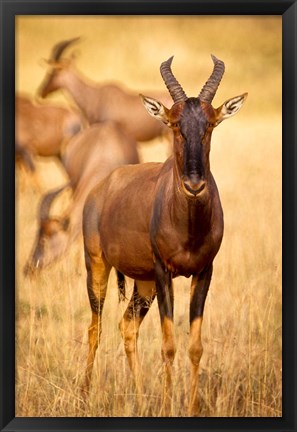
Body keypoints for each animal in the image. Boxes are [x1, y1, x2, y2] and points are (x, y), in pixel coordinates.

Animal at [81, 54, 247, 416]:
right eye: (173, 123)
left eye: (211, 124)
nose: (194, 185)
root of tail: (101, 188)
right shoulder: (163, 272)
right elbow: (168, 345)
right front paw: (170, 407)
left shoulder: (203, 272)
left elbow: (195, 346)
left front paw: (192, 409)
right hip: (98, 268)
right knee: (94, 327)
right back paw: (83, 396)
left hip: (143, 284)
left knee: (127, 327)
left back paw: (142, 400)